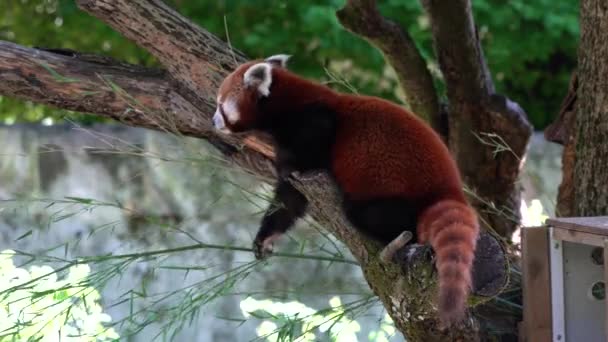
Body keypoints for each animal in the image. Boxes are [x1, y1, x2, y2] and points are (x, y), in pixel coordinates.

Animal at [214, 54, 480, 328]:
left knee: (366, 215)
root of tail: (450, 189)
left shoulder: (313, 123)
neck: (285, 104)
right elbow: (290, 199)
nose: (214, 121)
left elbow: (303, 162)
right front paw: (265, 238)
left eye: (220, 104)